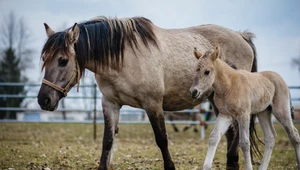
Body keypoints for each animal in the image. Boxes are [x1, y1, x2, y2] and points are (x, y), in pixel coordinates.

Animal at [37, 16, 258, 170]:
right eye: (45, 59)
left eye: (63, 60)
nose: (43, 100)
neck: (123, 58)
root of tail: (242, 36)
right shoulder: (110, 104)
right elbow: (107, 141)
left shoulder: (153, 105)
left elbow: (162, 140)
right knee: (230, 133)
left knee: (238, 131)